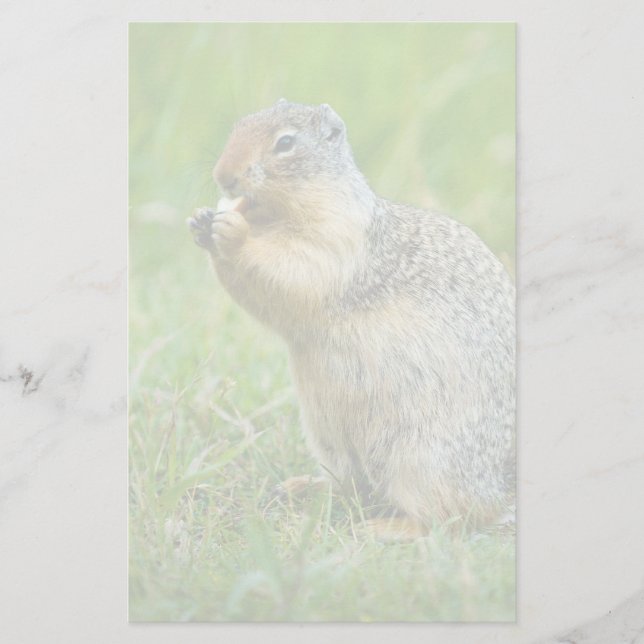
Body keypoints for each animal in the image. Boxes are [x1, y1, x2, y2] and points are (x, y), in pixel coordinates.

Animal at [188, 99, 515, 533]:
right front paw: (200, 222)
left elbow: (294, 271)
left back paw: (389, 527)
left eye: (285, 143)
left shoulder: (336, 239)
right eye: (239, 125)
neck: (274, 218)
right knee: (351, 486)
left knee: (450, 517)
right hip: (329, 440)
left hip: (425, 460)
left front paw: (232, 231)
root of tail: (498, 491)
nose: (223, 176)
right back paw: (302, 488)